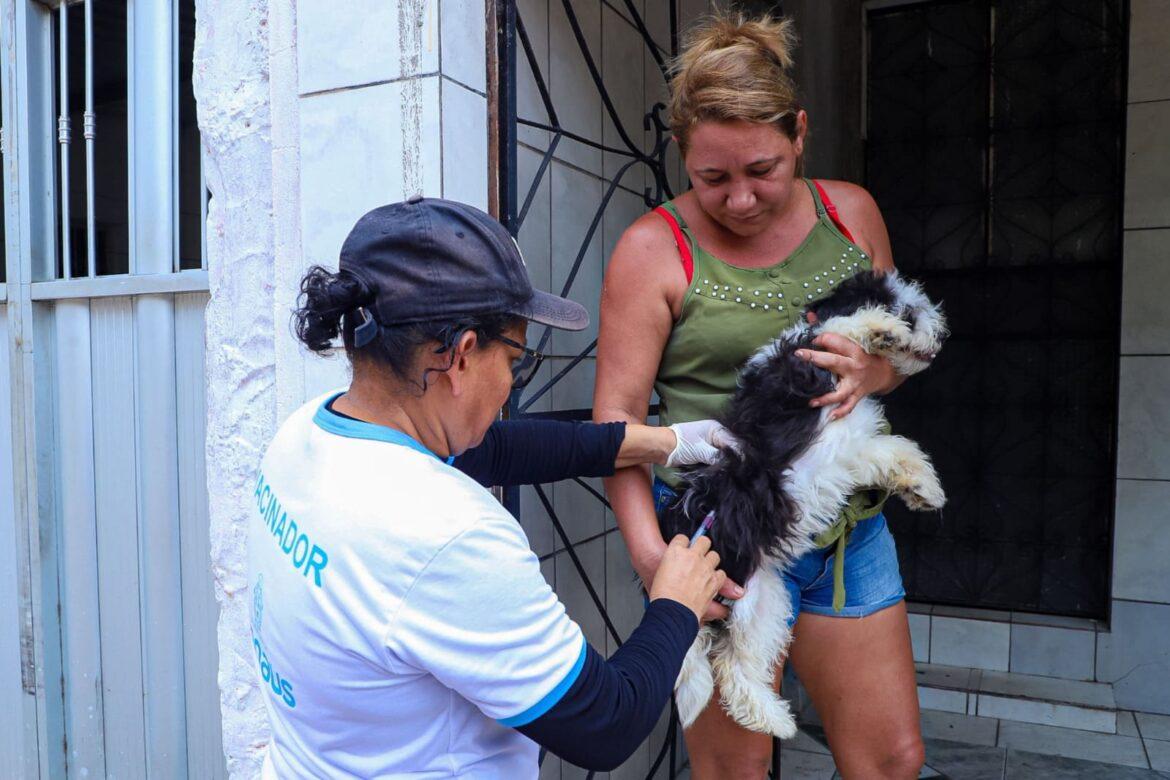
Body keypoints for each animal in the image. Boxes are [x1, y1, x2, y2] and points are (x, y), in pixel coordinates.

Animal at [664, 273, 945, 739]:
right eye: (908, 311)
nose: (941, 335)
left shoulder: (853, 448)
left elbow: (897, 449)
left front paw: (924, 489)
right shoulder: (801, 376)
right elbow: (843, 330)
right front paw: (881, 330)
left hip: (763, 598)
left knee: (736, 667)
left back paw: (775, 720)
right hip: (741, 594)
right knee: (731, 664)